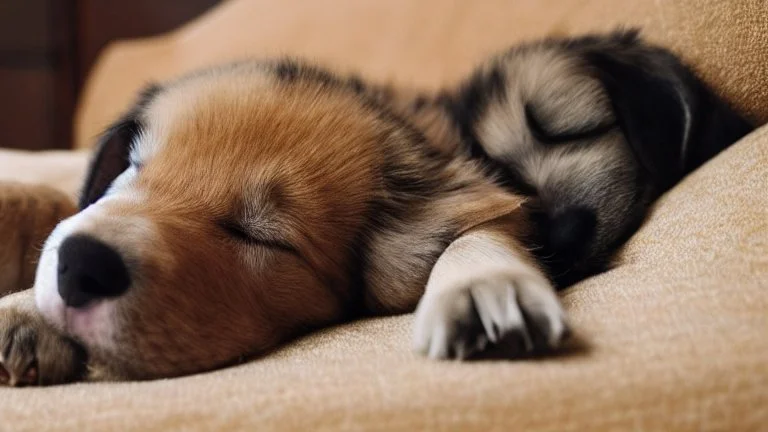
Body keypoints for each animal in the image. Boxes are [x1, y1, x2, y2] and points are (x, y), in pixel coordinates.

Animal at [0, 60, 564, 384]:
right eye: (133, 167)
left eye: (261, 235)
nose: (82, 266)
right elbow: (62, 203)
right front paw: (24, 310)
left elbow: (477, 229)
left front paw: (483, 287)